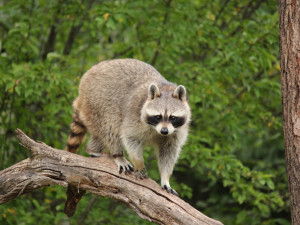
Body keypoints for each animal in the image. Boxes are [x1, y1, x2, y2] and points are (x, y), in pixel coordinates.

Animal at [66, 58, 192, 195]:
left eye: (172, 117)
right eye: (158, 116)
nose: (164, 131)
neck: (165, 88)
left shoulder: (176, 131)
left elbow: (169, 151)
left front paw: (165, 178)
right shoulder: (134, 115)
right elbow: (130, 138)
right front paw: (139, 164)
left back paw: (92, 149)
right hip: (97, 102)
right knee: (110, 129)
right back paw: (117, 155)